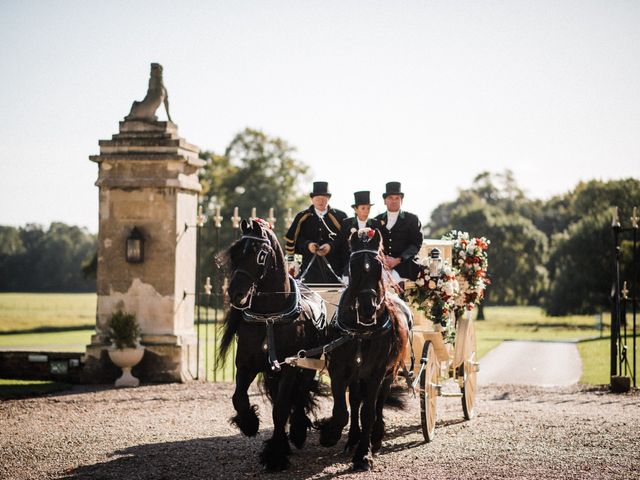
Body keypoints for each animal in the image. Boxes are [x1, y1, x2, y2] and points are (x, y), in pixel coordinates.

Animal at [218, 219, 328, 470]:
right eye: (236, 253)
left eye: (260, 254)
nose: (235, 292)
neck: (269, 317)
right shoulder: (246, 364)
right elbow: (238, 398)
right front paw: (249, 423)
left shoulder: (290, 366)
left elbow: (280, 408)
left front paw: (276, 454)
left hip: (309, 364)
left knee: (300, 395)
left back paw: (297, 431)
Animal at [318, 228, 410, 468]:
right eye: (353, 265)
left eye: (378, 265)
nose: (368, 308)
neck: (361, 330)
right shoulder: (339, 369)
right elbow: (342, 411)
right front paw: (330, 434)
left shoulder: (376, 372)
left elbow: (369, 412)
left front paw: (363, 454)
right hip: (356, 374)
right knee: (355, 401)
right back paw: (352, 439)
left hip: (389, 373)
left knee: (377, 403)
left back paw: (375, 437)